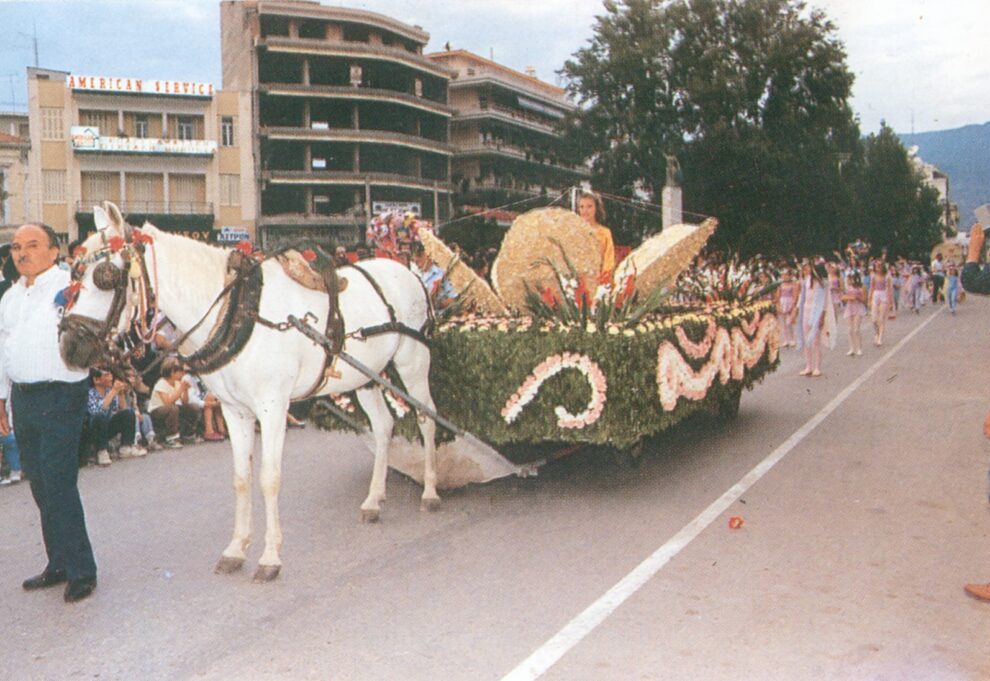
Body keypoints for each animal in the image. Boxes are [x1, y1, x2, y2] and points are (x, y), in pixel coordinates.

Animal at [57, 202, 438, 580]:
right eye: (74, 273)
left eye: (106, 277)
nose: (69, 347)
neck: (238, 311)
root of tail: (403, 268)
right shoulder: (234, 410)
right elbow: (241, 479)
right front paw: (236, 548)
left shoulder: (272, 407)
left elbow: (269, 478)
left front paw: (270, 556)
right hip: (368, 375)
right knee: (384, 426)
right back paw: (374, 499)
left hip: (412, 361)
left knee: (426, 417)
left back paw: (431, 492)